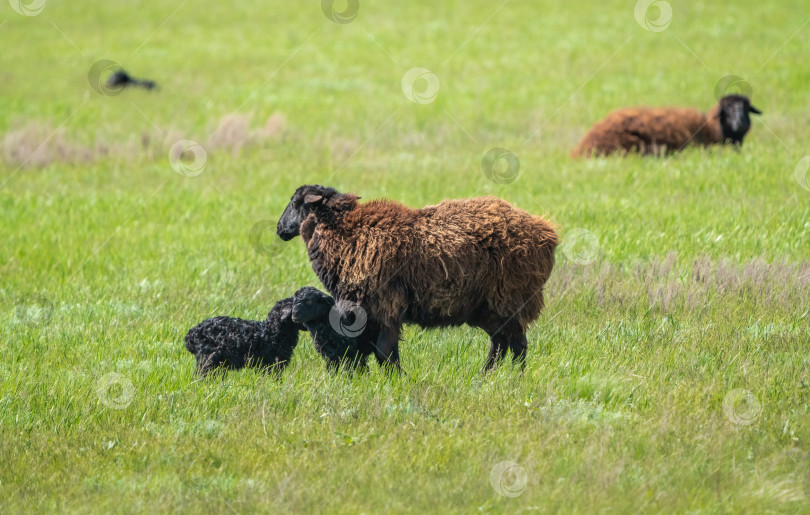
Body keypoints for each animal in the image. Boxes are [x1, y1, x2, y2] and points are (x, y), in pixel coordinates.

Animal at [274, 185, 560, 370]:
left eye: (295, 202)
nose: (279, 229)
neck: (344, 231)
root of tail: (546, 232)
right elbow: (384, 351)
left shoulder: (386, 306)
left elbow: (384, 351)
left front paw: (396, 381)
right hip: (488, 308)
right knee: (501, 342)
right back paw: (486, 376)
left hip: (509, 298)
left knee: (518, 344)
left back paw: (514, 377)